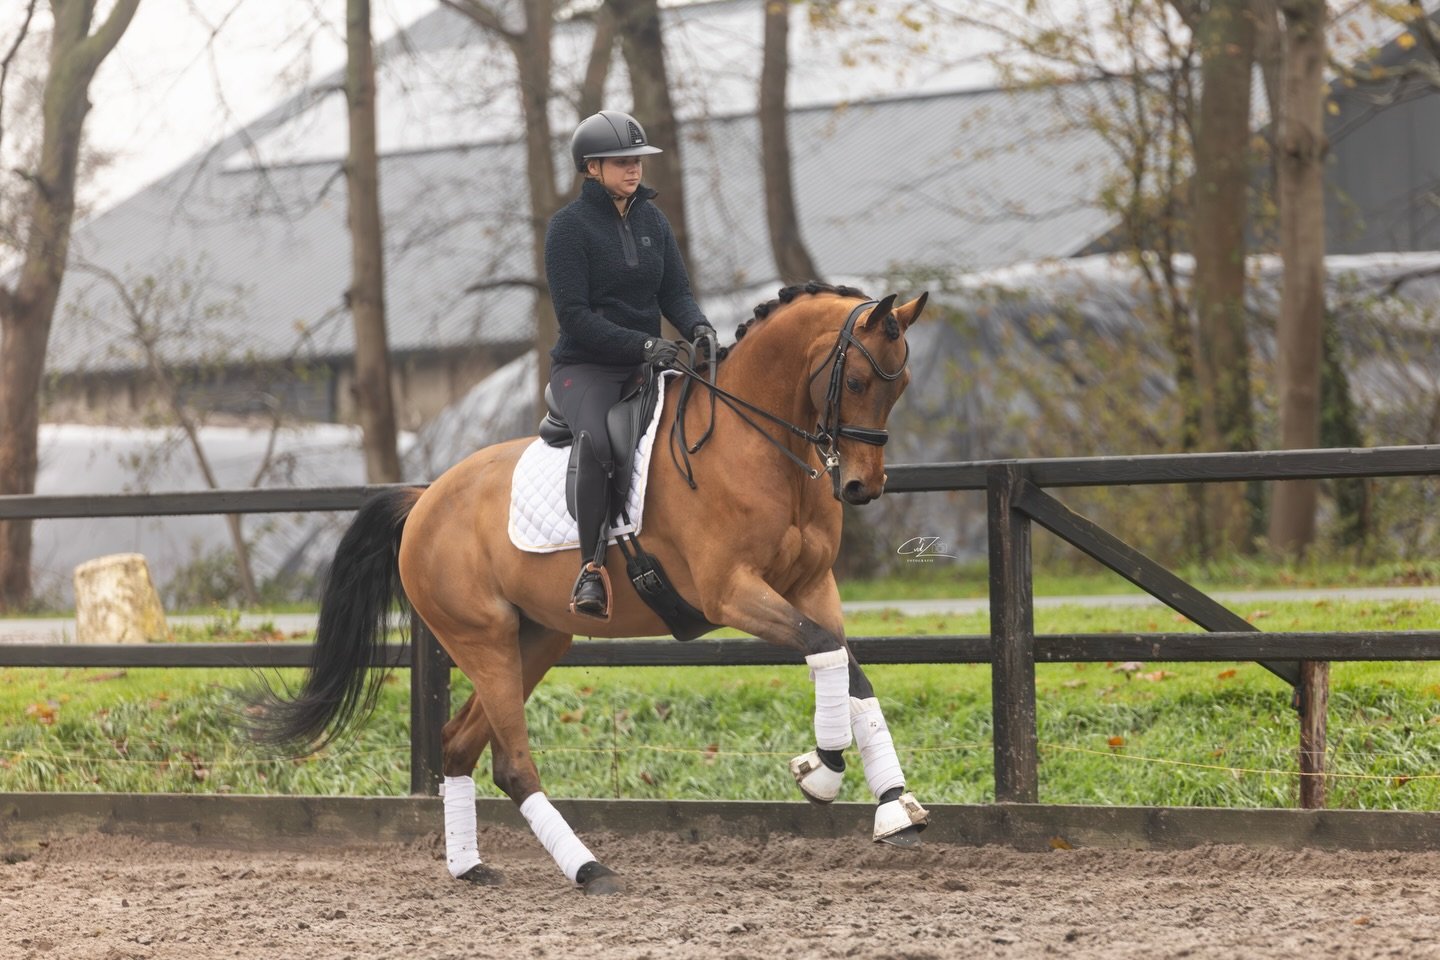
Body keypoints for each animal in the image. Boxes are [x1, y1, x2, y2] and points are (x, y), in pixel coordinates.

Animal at [251, 282, 931, 895]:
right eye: (859, 383)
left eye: (900, 386)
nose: (863, 488)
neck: (755, 444)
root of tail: (425, 499)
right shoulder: (732, 592)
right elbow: (822, 649)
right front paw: (823, 772)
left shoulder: (812, 586)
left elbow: (847, 666)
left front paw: (892, 804)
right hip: (483, 640)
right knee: (513, 763)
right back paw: (589, 869)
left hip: (537, 639)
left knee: (462, 745)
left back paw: (471, 867)